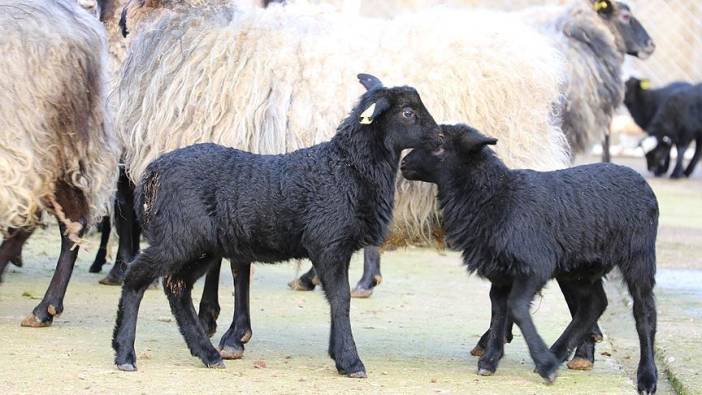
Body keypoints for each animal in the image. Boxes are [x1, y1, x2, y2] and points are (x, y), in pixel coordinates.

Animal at [111, 73, 440, 378]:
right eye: (408, 112)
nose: (439, 138)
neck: (349, 167)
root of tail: (153, 172)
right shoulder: (328, 244)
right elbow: (341, 299)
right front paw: (350, 362)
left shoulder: (338, 248)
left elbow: (337, 300)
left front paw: (338, 354)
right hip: (178, 237)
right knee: (137, 276)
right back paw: (125, 353)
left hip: (200, 246)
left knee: (177, 288)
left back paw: (208, 354)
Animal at [402, 125, 660, 394]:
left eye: (439, 144)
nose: (403, 164)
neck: (496, 197)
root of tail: (639, 179)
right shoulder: (501, 273)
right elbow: (498, 310)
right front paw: (490, 360)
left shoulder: (534, 267)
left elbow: (515, 307)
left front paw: (544, 364)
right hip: (581, 267)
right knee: (594, 304)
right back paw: (558, 353)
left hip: (639, 255)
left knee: (644, 312)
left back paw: (646, 377)